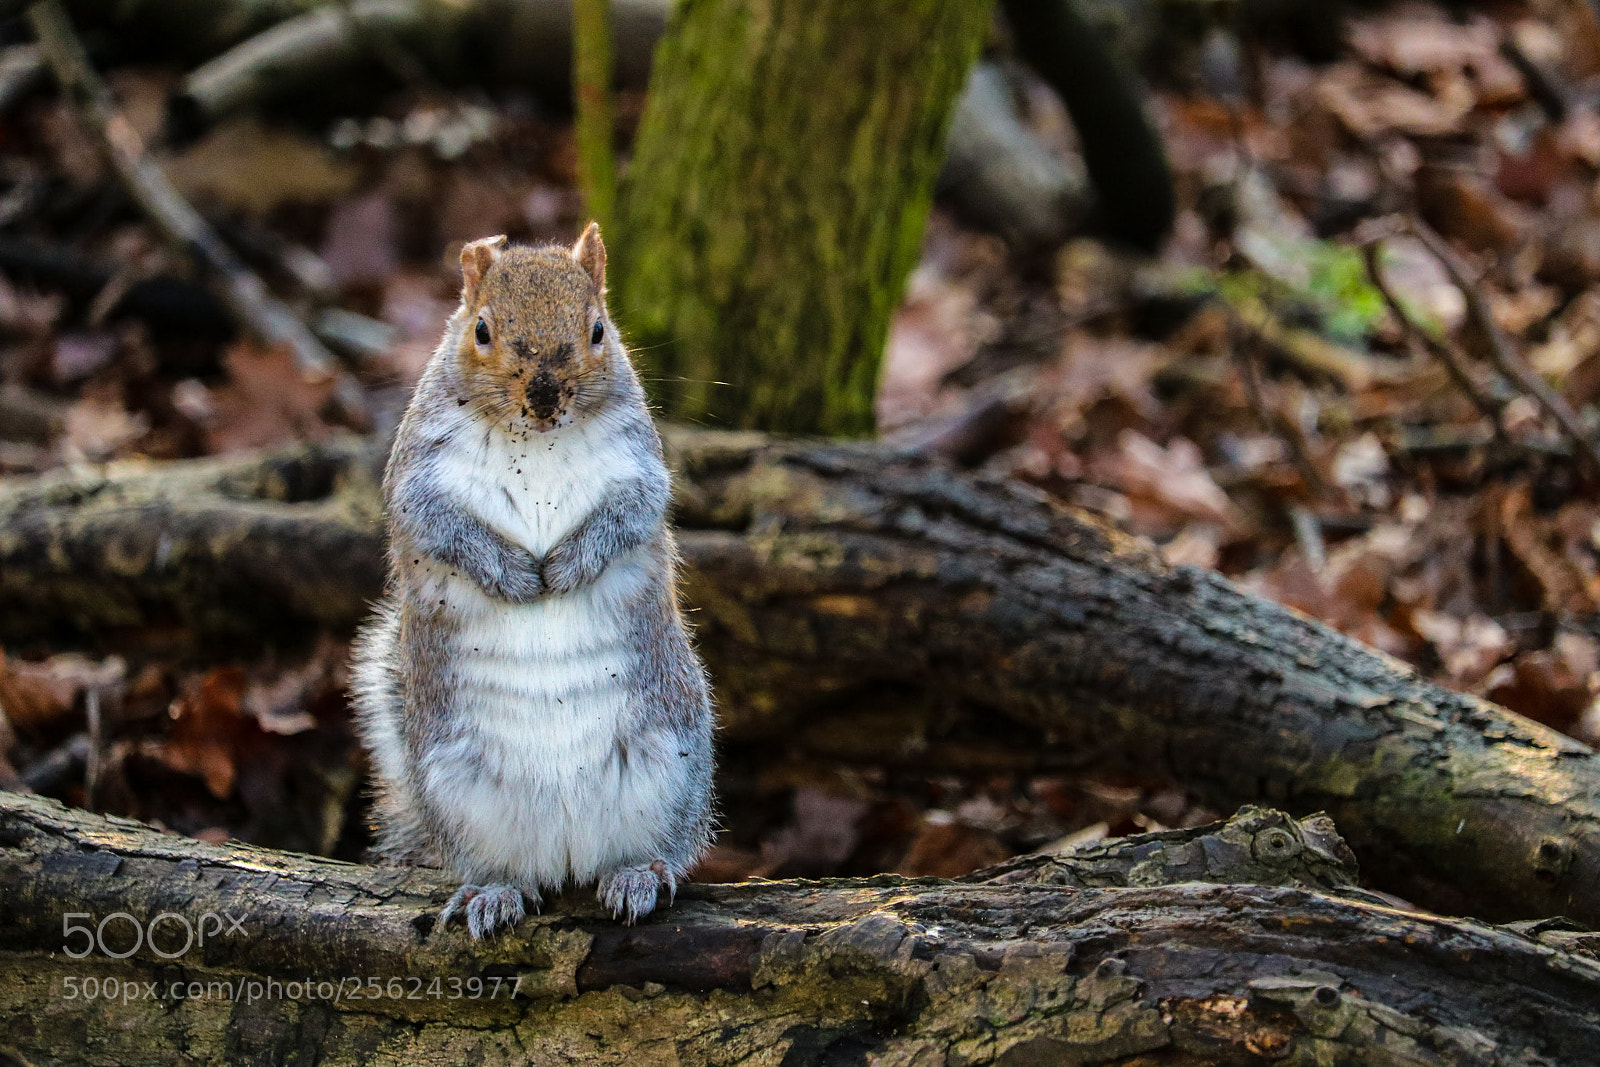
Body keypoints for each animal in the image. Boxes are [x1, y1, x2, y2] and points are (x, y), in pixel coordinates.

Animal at [350, 223, 715, 939]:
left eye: (598, 329)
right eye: (481, 330)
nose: (545, 397)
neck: (536, 443)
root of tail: (566, 851)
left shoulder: (640, 465)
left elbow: (632, 513)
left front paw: (567, 566)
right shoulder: (417, 475)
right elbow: (438, 523)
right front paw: (515, 575)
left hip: (669, 759)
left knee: (661, 845)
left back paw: (638, 874)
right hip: (458, 787)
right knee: (503, 867)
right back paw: (494, 892)